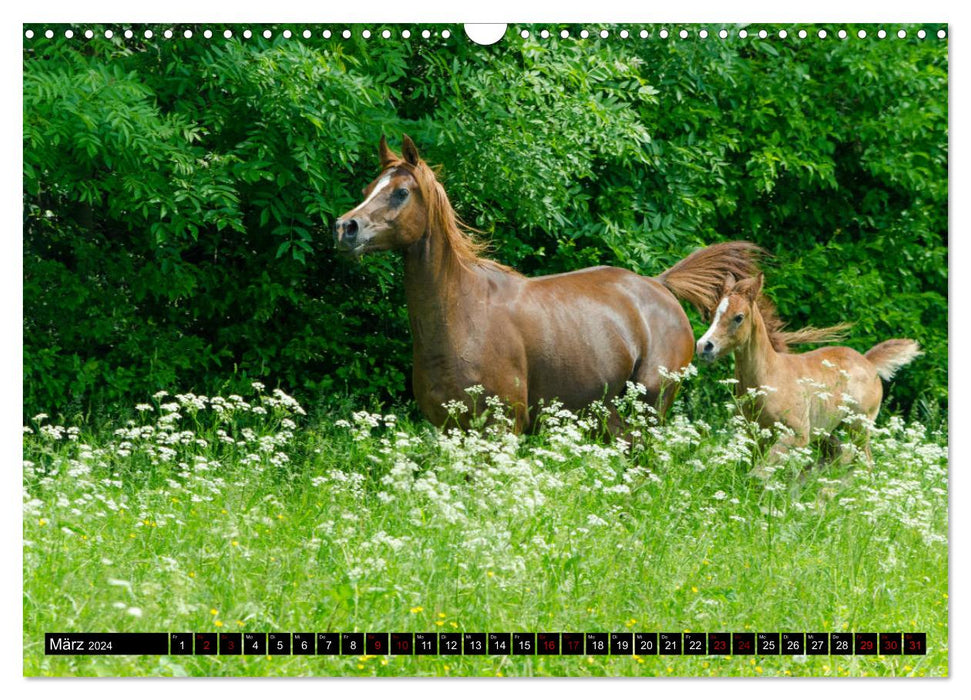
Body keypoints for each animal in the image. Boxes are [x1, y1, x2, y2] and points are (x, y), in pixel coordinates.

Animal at [338, 135, 764, 432]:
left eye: (401, 192)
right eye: (367, 190)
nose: (346, 227)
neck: (460, 315)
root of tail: (659, 285)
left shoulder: (502, 429)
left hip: (646, 414)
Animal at [700, 274, 920, 470]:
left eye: (739, 317)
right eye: (712, 313)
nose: (704, 346)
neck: (768, 377)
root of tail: (868, 361)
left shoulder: (798, 435)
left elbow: (760, 472)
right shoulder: (754, 435)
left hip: (859, 426)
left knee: (865, 462)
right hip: (827, 430)